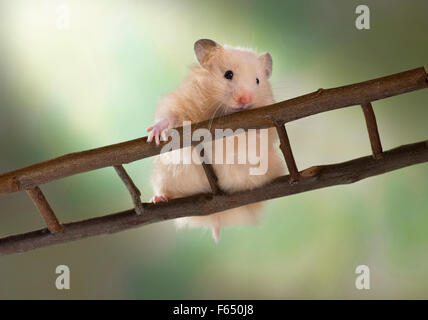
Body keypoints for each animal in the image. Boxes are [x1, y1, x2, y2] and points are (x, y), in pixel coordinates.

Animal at [146, 38, 284, 241]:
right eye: (228, 74)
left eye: (258, 81)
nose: (245, 99)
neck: (223, 112)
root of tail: (216, 217)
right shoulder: (181, 100)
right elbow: (169, 116)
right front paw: (155, 133)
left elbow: (253, 139)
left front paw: (255, 131)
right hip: (165, 174)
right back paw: (160, 198)